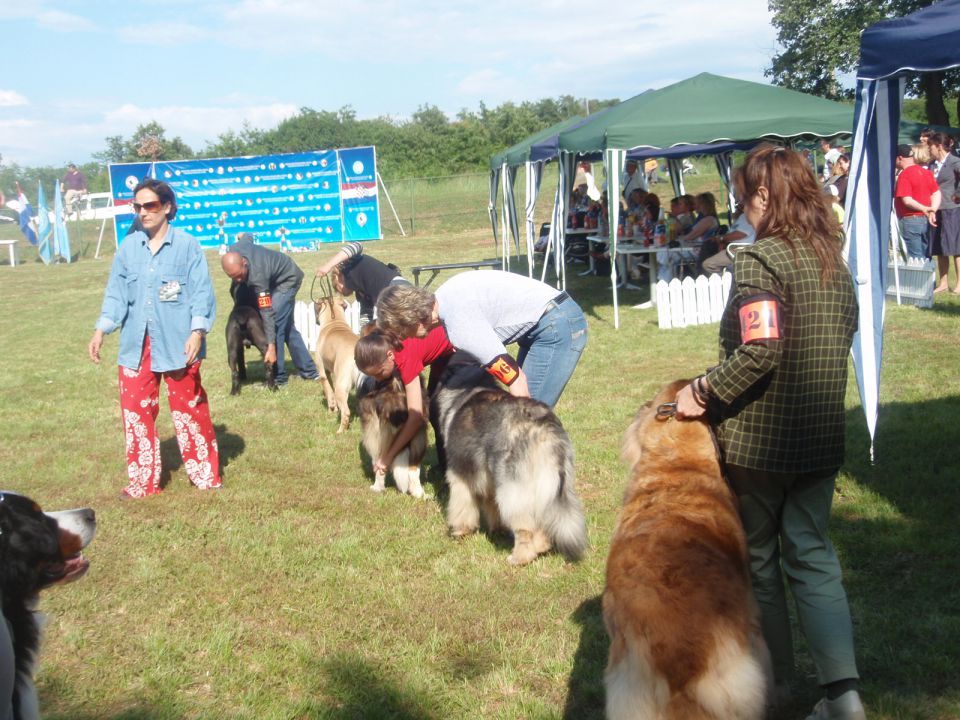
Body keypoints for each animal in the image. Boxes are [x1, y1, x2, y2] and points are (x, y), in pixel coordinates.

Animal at [316, 294, 360, 434]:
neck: (334, 321)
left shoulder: (323, 372)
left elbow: (328, 391)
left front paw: (332, 409)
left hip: (341, 386)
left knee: (346, 412)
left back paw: (340, 431)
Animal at [432, 352, 588, 564]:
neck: (469, 381)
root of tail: (546, 431)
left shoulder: (460, 470)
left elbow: (462, 499)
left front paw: (459, 530)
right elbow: (490, 502)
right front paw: (496, 528)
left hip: (513, 485)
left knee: (525, 525)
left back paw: (519, 557)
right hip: (550, 483)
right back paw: (540, 546)